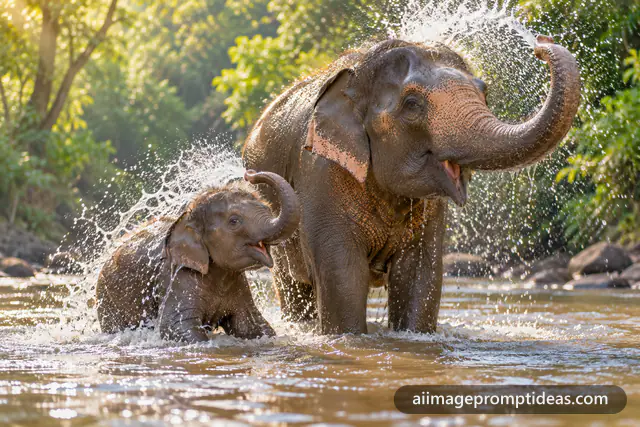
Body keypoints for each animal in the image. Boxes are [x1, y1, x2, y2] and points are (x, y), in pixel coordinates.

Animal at [95, 170, 300, 342]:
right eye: (234, 221)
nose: (248, 174)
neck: (187, 217)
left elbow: (250, 326)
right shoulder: (176, 277)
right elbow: (174, 327)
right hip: (107, 302)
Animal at [243, 36, 580, 334]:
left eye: (484, 91)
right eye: (412, 104)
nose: (541, 44)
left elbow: (420, 274)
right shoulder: (320, 172)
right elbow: (342, 274)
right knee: (293, 287)